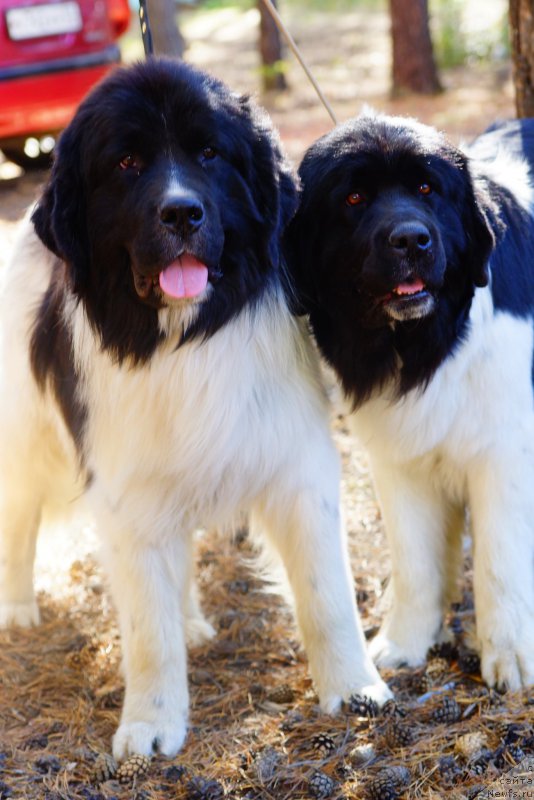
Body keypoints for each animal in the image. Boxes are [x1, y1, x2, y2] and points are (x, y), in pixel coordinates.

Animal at [1, 62, 394, 756]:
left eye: (209, 154)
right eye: (127, 162)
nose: (181, 212)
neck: (186, 335)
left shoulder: (297, 466)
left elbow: (326, 595)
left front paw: (353, 688)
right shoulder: (125, 493)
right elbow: (146, 631)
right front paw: (151, 724)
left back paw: (190, 619)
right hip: (31, 437)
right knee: (20, 514)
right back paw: (20, 607)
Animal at [288, 109, 534, 692]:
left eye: (426, 189)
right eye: (354, 198)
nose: (411, 240)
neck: (428, 346)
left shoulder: (505, 454)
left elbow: (501, 559)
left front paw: (510, 654)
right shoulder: (399, 460)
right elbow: (414, 559)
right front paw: (405, 644)